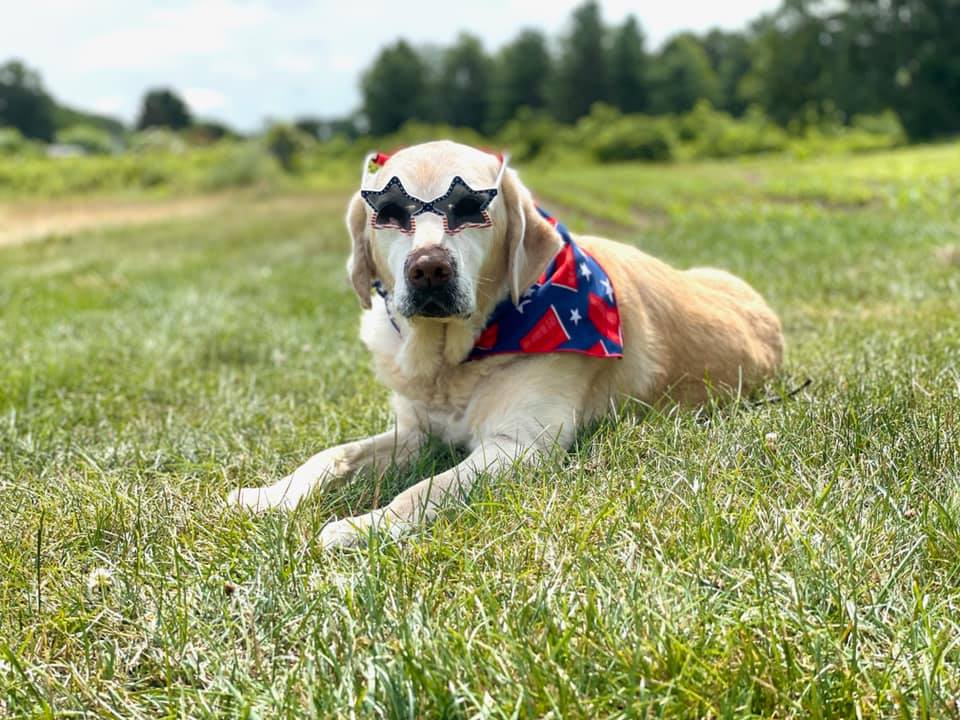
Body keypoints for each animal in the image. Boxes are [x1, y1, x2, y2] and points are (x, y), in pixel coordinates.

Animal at [228, 141, 784, 548]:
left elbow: (427, 487)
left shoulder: (517, 444)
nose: (429, 269)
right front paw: (270, 495)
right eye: (387, 213)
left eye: (470, 209)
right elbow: (331, 455)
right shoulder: (414, 433)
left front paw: (363, 525)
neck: (452, 361)